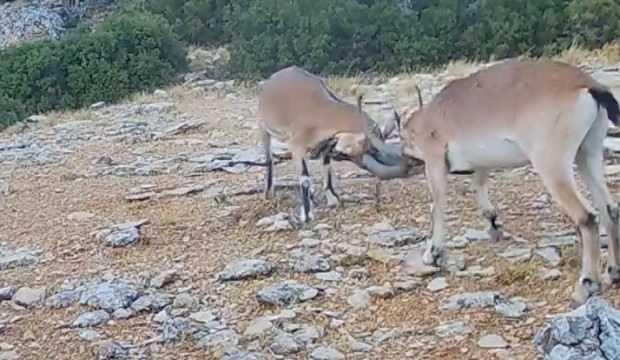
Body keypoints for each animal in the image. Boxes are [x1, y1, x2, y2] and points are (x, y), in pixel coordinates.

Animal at [256, 65, 412, 221]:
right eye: (346, 153)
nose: (363, 164)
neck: (321, 112)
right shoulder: (297, 145)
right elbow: (305, 178)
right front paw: (307, 215)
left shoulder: (325, 145)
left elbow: (327, 169)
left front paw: (332, 199)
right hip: (263, 128)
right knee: (269, 158)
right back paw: (269, 192)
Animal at [386, 59, 616, 306]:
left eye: (402, 140)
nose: (405, 160)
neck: (429, 117)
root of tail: (589, 86)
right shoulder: (481, 165)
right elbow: (479, 186)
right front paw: (494, 225)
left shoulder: (435, 160)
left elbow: (437, 207)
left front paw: (433, 253)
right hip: (588, 153)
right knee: (609, 209)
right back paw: (613, 272)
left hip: (552, 164)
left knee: (587, 216)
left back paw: (586, 284)